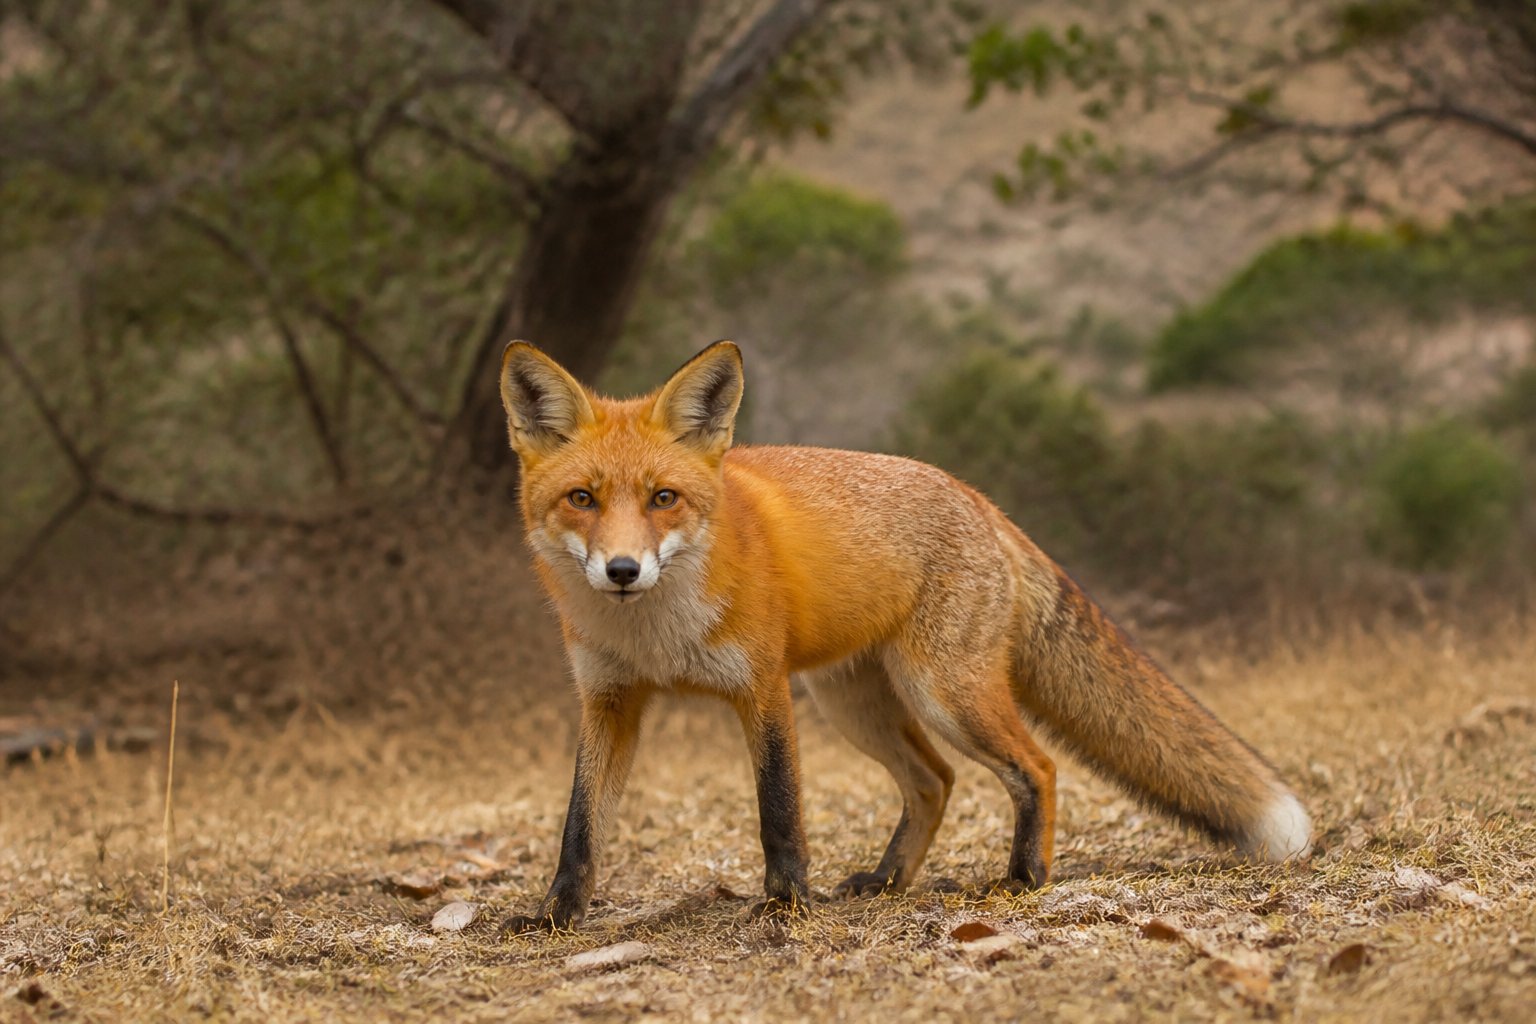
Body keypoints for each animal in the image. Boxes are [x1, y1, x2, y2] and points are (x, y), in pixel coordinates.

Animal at [497, 339, 1311, 933]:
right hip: (856, 704)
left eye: (664, 498)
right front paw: (555, 916)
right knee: (934, 780)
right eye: (581, 499)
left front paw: (788, 905)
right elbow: (580, 827)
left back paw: (1023, 879)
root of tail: (979, 498)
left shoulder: (763, 689)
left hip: (941, 692)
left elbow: (779, 810)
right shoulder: (609, 701)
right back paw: (890, 879)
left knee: (1037, 767)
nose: (622, 570)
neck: (654, 637)